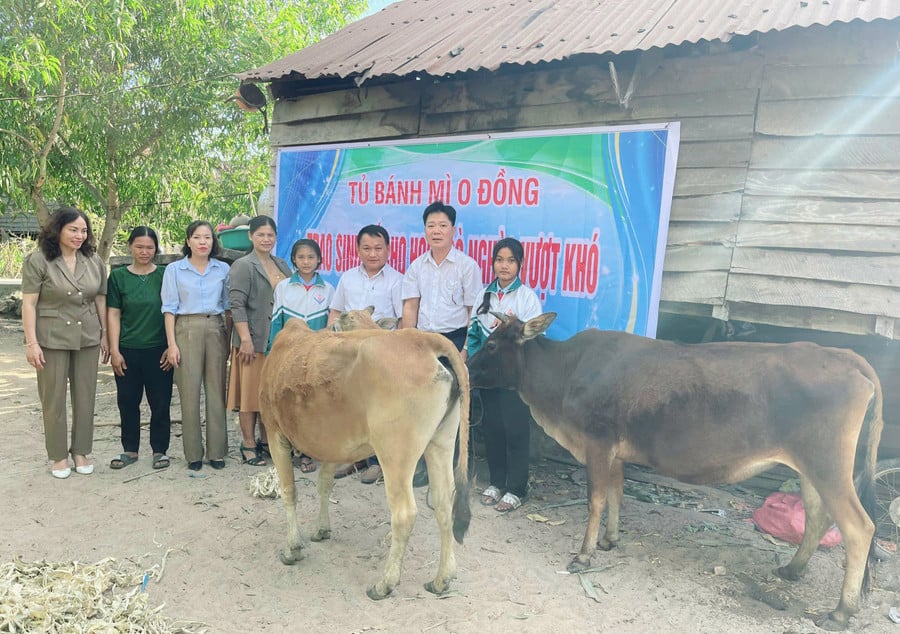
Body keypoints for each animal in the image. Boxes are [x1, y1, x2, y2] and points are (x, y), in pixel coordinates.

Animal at [258, 316, 472, 596]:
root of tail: (424, 339)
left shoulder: (274, 432)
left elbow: (289, 491)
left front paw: (292, 548)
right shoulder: (331, 442)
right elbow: (324, 484)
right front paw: (322, 529)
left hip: (395, 453)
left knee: (404, 514)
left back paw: (385, 584)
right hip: (441, 442)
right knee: (444, 503)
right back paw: (441, 579)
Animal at [468, 312, 884, 628]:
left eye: (491, 345)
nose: (465, 366)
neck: (565, 375)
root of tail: (844, 356)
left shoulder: (598, 443)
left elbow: (596, 500)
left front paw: (583, 556)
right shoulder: (616, 452)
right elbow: (617, 493)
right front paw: (609, 540)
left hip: (828, 466)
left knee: (858, 528)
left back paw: (840, 612)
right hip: (811, 468)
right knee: (816, 516)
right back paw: (793, 570)